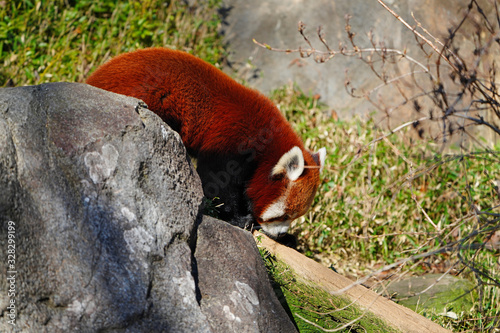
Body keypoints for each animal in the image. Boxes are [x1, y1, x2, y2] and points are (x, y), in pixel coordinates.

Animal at [87, 47, 326, 239]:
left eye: (294, 216)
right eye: (283, 214)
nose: (282, 233)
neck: (267, 143)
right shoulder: (231, 142)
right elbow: (217, 181)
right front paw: (240, 219)